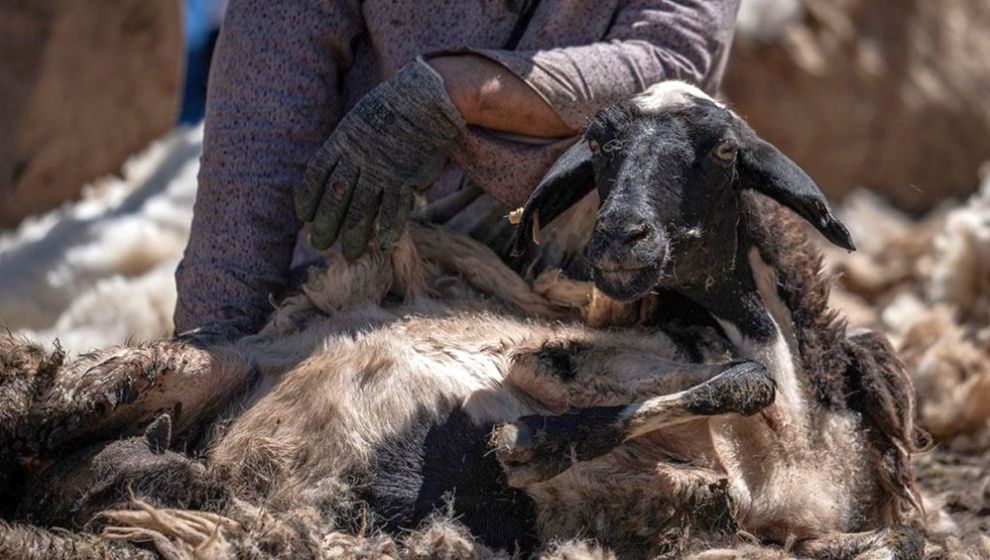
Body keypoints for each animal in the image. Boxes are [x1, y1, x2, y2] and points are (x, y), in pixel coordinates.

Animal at [1, 81, 928, 556]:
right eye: (601, 147)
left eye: (727, 153)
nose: (622, 235)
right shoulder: (585, 363)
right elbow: (724, 377)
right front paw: (535, 439)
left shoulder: (711, 498)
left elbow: (732, 385)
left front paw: (534, 444)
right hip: (183, 367)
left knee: (87, 470)